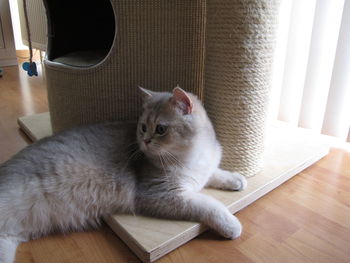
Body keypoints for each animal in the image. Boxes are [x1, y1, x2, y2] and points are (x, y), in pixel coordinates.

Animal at [0, 87, 246, 263]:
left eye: (160, 129)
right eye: (143, 127)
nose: (145, 141)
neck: (192, 155)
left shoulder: (203, 171)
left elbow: (215, 173)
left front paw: (236, 179)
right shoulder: (161, 194)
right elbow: (208, 205)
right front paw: (230, 224)